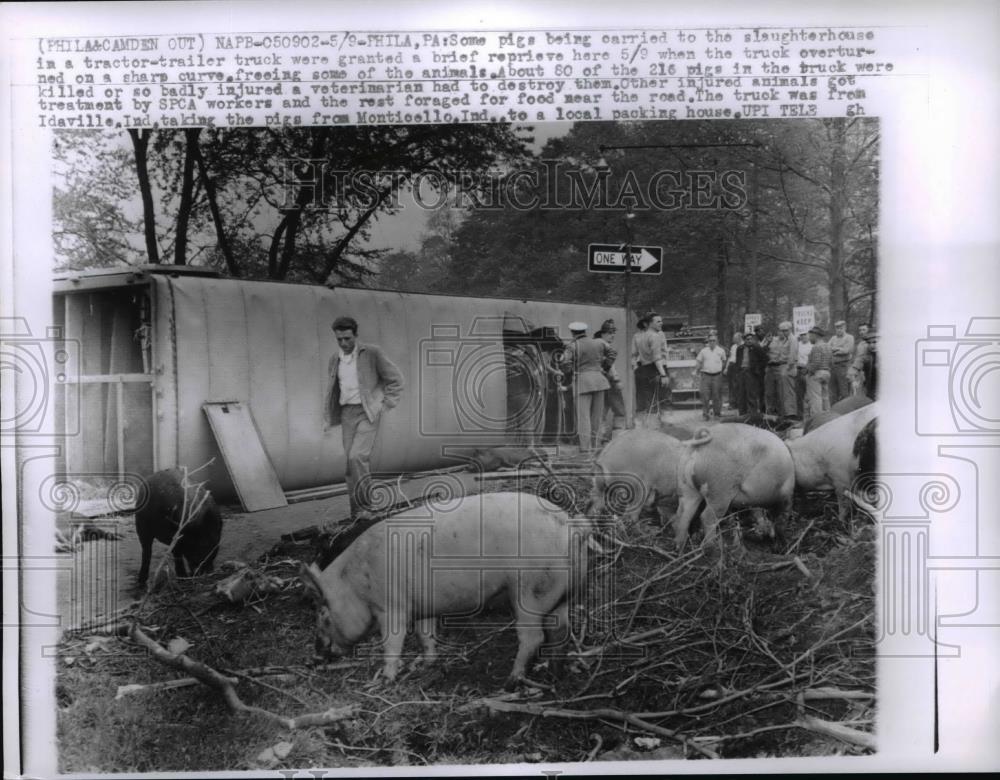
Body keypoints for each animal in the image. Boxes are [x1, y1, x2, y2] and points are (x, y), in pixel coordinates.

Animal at [296, 494, 592, 684]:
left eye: (322, 613)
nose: (314, 654)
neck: (355, 583)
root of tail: (570, 526)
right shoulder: (422, 606)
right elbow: (425, 634)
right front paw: (425, 663)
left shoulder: (392, 607)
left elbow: (392, 643)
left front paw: (383, 680)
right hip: (560, 593)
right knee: (561, 631)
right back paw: (554, 673)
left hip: (529, 591)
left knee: (533, 638)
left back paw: (512, 680)